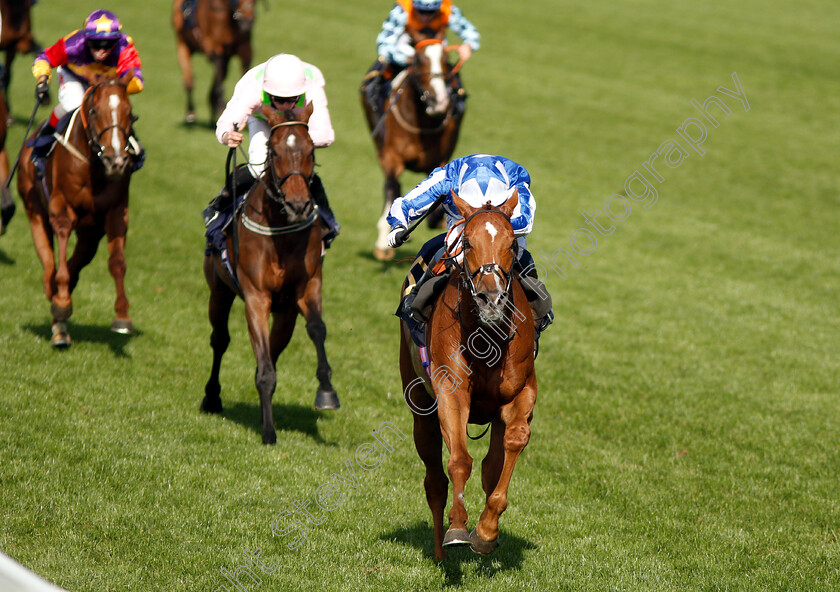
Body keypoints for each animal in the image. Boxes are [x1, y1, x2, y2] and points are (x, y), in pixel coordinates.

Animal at [17, 76, 141, 350]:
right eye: (94, 111)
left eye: (129, 112)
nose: (116, 161)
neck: (93, 166)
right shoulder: (60, 208)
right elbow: (61, 258)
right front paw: (62, 302)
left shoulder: (116, 213)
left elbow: (117, 263)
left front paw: (122, 316)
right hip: (34, 211)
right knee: (49, 262)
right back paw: (57, 308)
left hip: (90, 235)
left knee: (75, 263)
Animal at [202, 104, 340, 444]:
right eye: (275, 151)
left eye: (310, 150)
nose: (299, 205)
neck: (281, 232)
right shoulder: (256, 297)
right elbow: (262, 366)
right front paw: (268, 431)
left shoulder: (307, 287)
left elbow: (317, 329)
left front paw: (326, 392)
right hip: (219, 291)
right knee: (220, 339)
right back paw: (211, 398)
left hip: (285, 313)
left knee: (274, 350)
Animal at [360, 30, 466, 262]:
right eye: (418, 60)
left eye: (446, 59)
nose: (439, 101)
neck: (422, 125)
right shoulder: (391, 157)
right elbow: (392, 186)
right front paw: (384, 244)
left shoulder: (440, 159)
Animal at [402, 191, 540, 560]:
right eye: (467, 242)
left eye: (511, 243)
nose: (492, 299)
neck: (486, 336)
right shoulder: (451, 392)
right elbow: (460, 460)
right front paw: (458, 528)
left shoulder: (521, 392)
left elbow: (514, 441)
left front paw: (487, 530)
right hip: (419, 404)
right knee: (434, 480)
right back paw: (440, 551)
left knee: (492, 464)